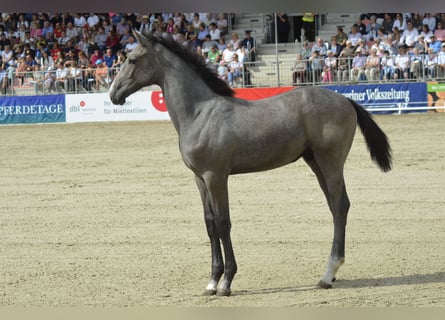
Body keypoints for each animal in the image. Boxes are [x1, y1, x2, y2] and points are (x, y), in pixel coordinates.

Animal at [109, 31, 390, 296]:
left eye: (131, 59)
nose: (113, 94)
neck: (200, 113)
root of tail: (346, 100)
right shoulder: (200, 179)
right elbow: (210, 224)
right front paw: (212, 282)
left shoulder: (216, 176)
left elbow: (223, 223)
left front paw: (226, 282)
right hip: (315, 162)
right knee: (335, 207)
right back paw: (331, 274)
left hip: (330, 162)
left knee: (340, 206)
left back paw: (328, 272)